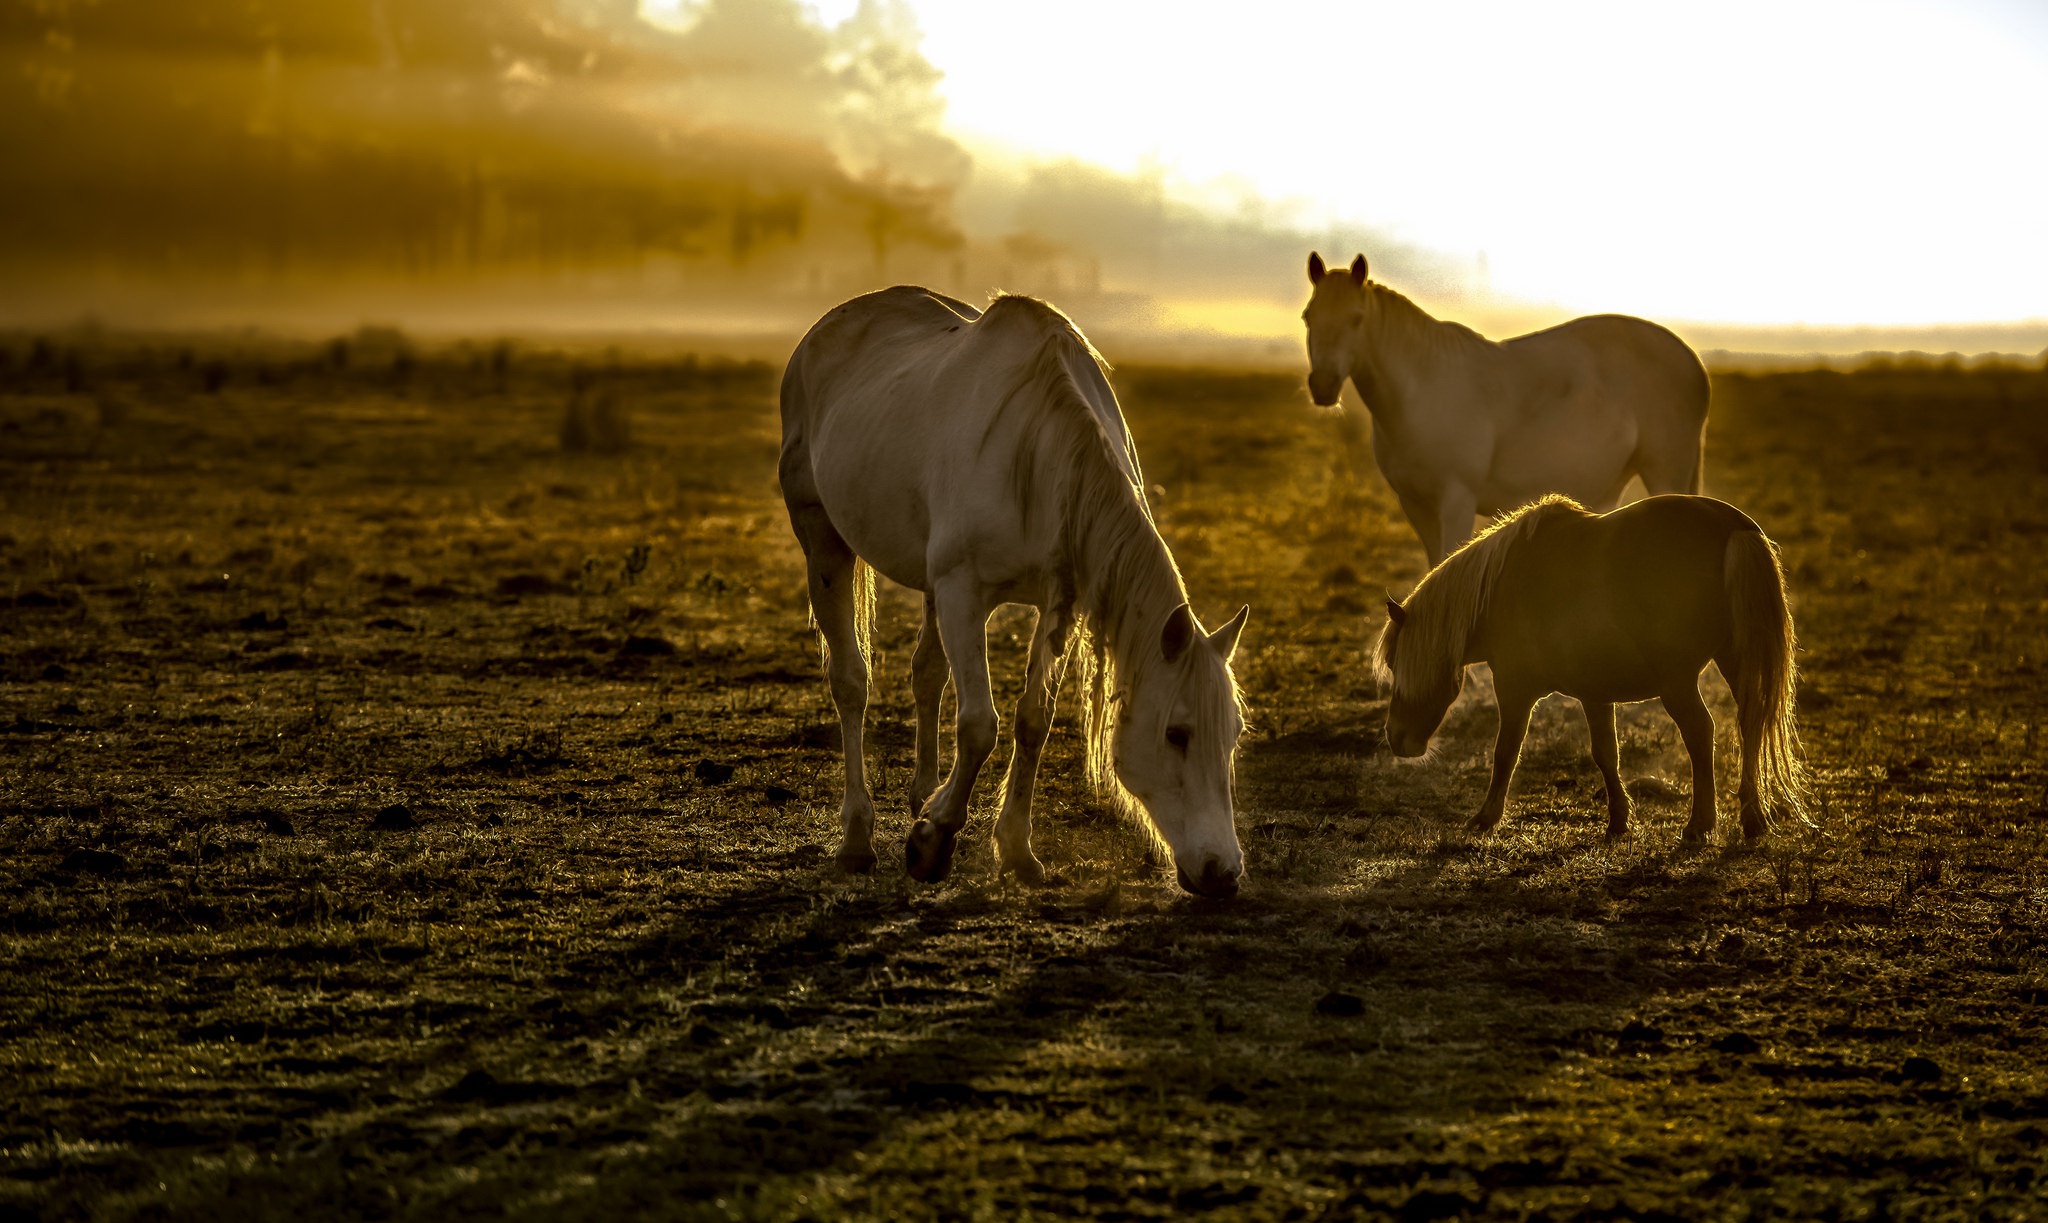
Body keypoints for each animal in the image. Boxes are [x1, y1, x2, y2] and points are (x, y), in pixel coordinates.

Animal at [782, 284, 1253, 897]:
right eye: (1177, 733)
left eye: (1234, 734)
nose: (1223, 873)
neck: (1041, 454)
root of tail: (825, 328)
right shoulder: (963, 593)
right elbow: (979, 726)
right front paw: (933, 842)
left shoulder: (1060, 603)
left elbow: (1034, 721)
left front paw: (1013, 849)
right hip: (824, 541)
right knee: (850, 684)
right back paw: (858, 839)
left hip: (929, 584)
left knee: (926, 674)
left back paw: (921, 797)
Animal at [1294, 255, 1712, 569]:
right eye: (1308, 317)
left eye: (1356, 319)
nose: (1323, 385)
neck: (1422, 388)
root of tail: (1692, 361)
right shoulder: (1414, 505)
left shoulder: (1457, 503)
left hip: (1665, 473)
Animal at [1376, 493, 1810, 839]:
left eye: (1398, 664)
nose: (1395, 738)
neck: (1502, 589)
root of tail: (1733, 528)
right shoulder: (1594, 692)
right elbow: (1606, 753)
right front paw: (1618, 820)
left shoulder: (1515, 690)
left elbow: (1505, 754)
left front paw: (1485, 818)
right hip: (1733, 659)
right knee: (1750, 725)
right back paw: (1753, 819)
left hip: (1678, 681)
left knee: (1701, 734)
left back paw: (1700, 825)